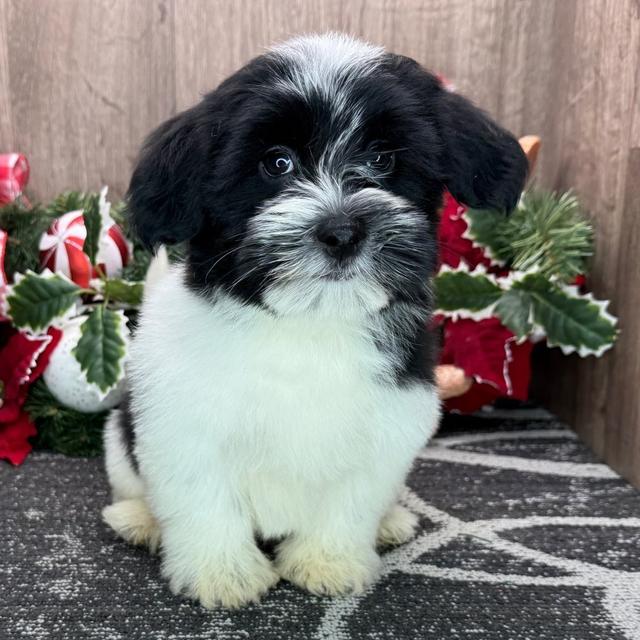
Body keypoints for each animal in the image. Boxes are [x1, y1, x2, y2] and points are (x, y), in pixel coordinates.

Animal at [102, 32, 528, 608]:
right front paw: (223, 573)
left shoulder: (391, 423)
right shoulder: (182, 426)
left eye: (382, 157)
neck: (308, 324)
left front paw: (328, 563)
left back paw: (390, 522)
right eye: (277, 163)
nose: (342, 231)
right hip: (117, 441)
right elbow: (204, 502)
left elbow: (351, 501)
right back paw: (138, 518)